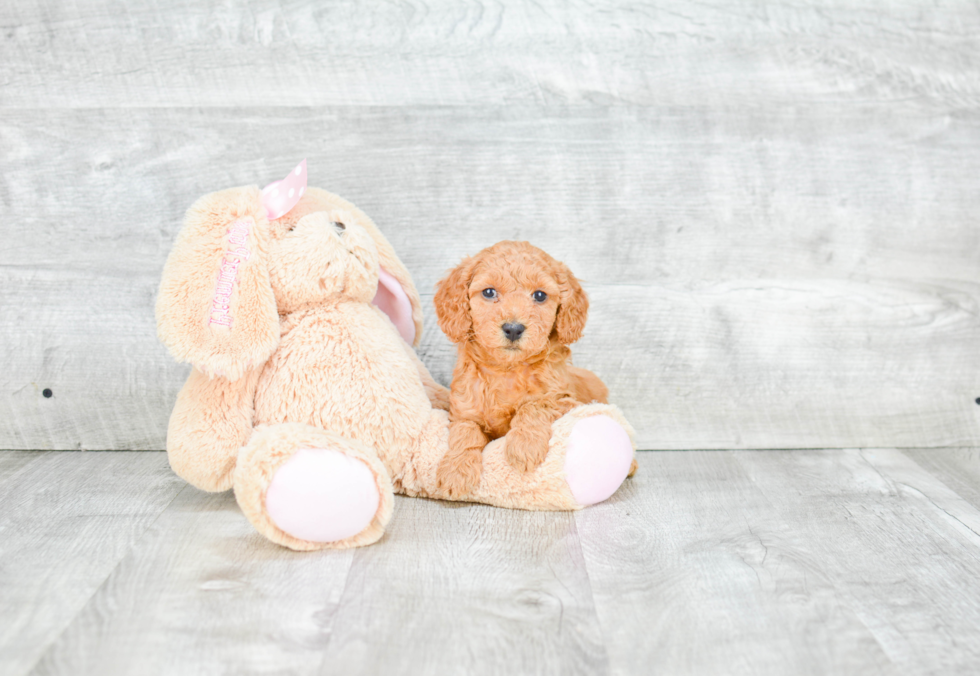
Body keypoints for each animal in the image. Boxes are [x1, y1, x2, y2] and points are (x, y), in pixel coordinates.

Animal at [430, 242, 632, 496]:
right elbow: (465, 432)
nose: (513, 328)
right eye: (489, 292)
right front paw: (455, 471)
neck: (507, 370)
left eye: (539, 295)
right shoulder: (463, 411)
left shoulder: (565, 400)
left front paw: (524, 446)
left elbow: (533, 406)